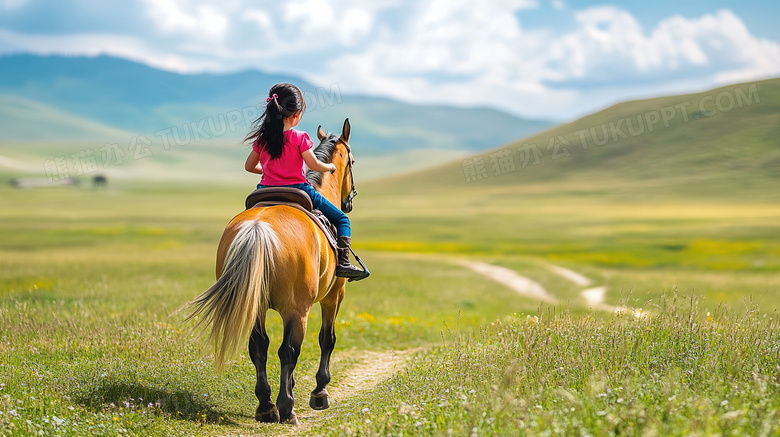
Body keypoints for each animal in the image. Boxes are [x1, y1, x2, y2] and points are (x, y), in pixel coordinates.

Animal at [184, 118, 362, 422]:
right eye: (352, 161)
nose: (350, 201)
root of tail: (257, 228)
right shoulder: (333, 297)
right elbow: (326, 340)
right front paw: (319, 393)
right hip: (297, 309)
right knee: (288, 351)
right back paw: (286, 407)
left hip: (254, 303)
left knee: (259, 346)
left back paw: (267, 406)